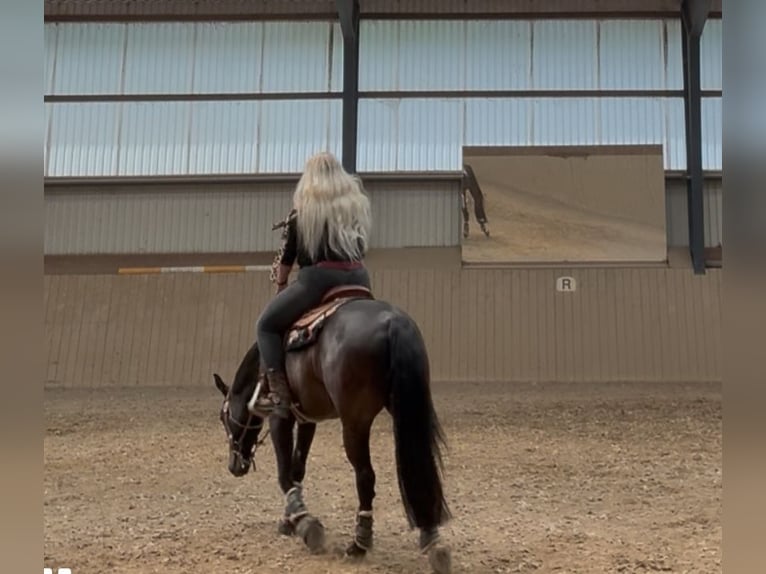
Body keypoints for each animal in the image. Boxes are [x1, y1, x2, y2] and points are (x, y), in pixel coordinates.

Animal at [212, 285, 453, 573]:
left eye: (223, 417)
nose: (233, 466)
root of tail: (392, 321)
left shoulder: (280, 418)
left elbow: (284, 474)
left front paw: (306, 525)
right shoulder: (307, 418)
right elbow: (297, 469)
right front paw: (290, 520)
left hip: (355, 423)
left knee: (365, 475)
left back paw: (359, 544)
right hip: (406, 407)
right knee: (418, 466)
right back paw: (432, 540)